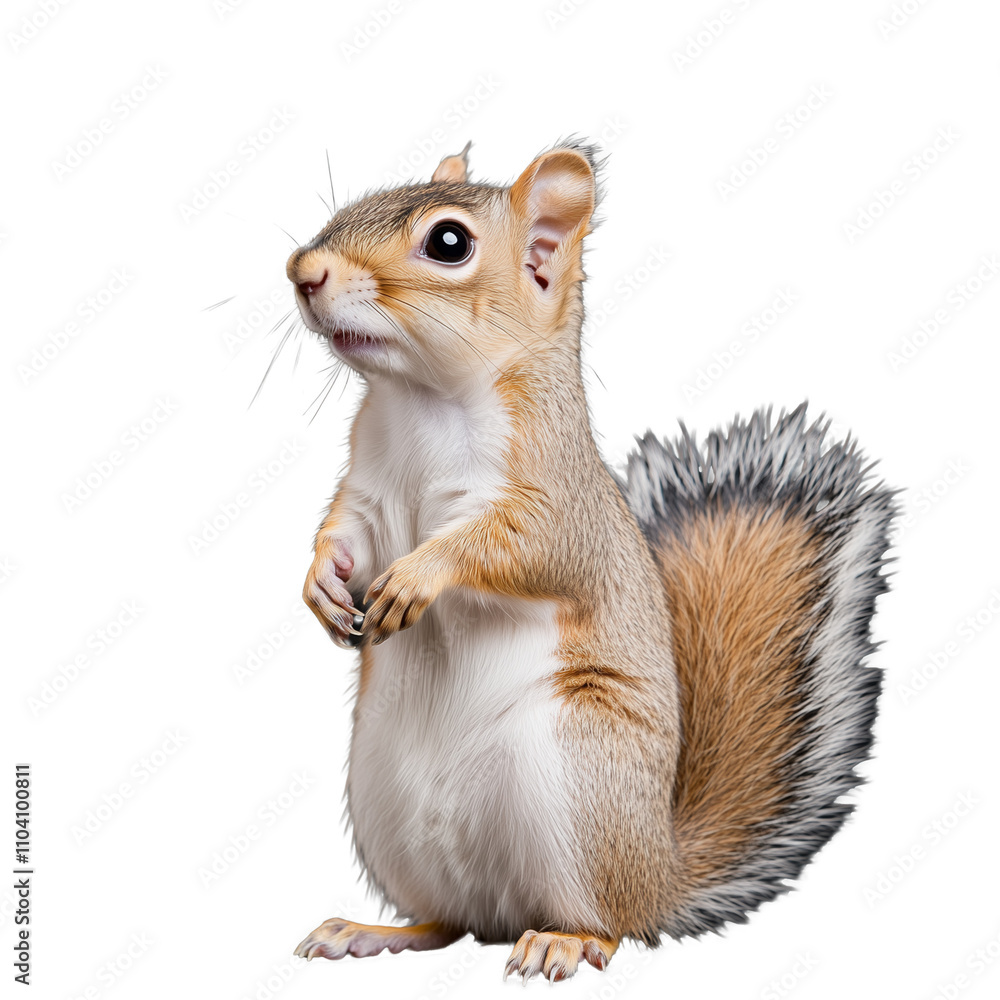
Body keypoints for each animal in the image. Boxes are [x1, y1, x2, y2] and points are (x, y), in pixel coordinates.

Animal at [283, 139, 896, 983]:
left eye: (449, 243)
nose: (303, 270)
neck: (421, 402)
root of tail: (660, 869)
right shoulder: (367, 490)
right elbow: (342, 533)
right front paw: (318, 584)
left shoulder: (557, 502)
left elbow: (511, 548)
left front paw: (418, 575)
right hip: (387, 808)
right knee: (447, 920)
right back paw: (371, 931)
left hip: (573, 784)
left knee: (610, 923)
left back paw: (565, 940)